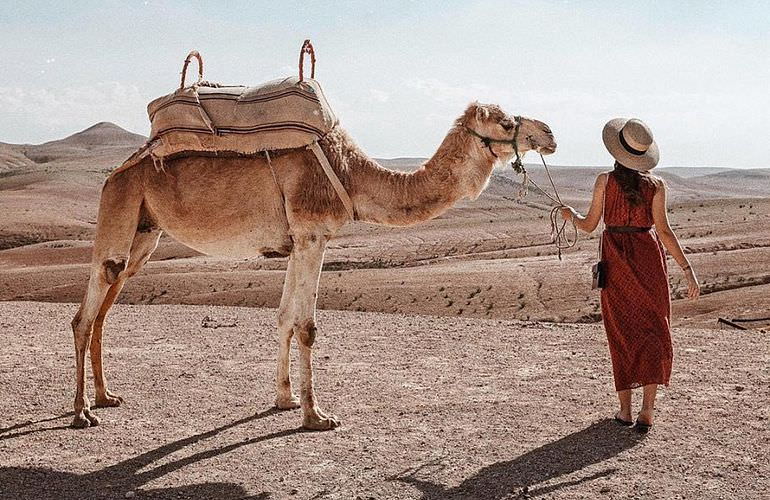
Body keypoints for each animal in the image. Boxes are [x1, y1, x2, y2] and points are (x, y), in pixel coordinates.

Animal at [70, 101, 552, 430]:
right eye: (507, 123)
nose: (549, 132)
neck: (352, 175)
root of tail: (116, 172)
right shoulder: (312, 236)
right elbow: (306, 326)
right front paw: (315, 415)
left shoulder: (298, 242)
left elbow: (284, 317)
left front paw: (284, 399)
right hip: (119, 208)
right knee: (85, 313)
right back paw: (82, 413)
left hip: (144, 231)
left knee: (105, 307)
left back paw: (106, 396)